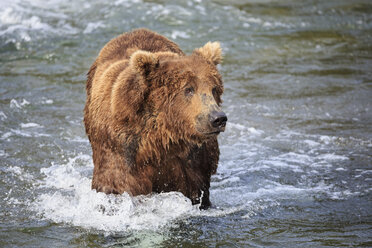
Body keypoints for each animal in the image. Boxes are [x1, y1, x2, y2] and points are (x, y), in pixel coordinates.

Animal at [84, 28, 227, 208]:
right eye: (188, 89)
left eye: (214, 89)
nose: (218, 118)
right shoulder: (122, 152)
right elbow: (118, 185)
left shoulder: (191, 162)